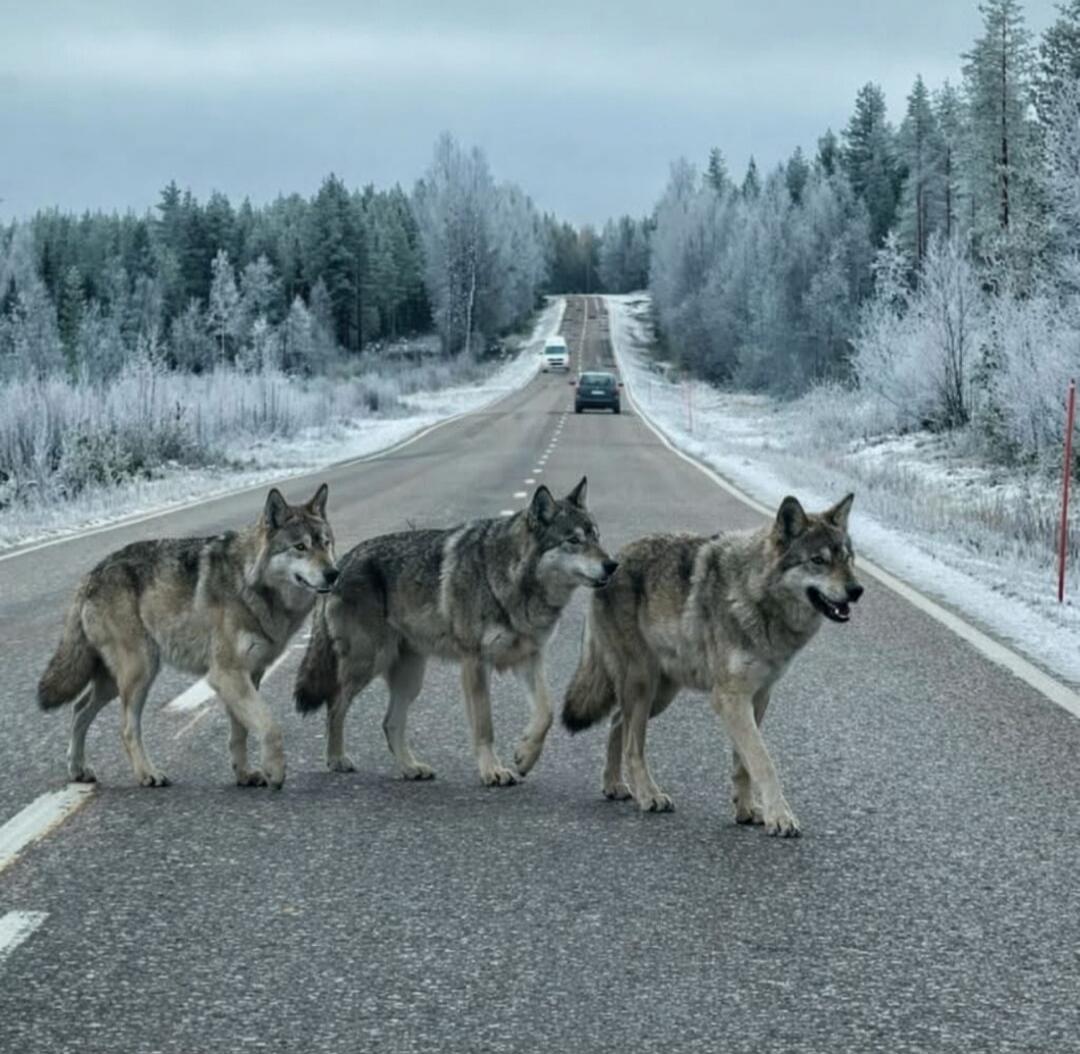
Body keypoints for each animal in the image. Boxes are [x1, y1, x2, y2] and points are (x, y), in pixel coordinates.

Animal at [38, 484, 337, 789]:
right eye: (300, 547)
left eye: (326, 543)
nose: (333, 573)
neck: (250, 584)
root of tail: (89, 576)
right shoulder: (226, 674)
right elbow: (269, 725)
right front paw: (275, 772)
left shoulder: (249, 675)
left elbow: (240, 733)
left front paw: (244, 774)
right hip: (140, 672)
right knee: (126, 729)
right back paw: (148, 774)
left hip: (113, 681)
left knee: (78, 709)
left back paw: (78, 769)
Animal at [294, 478, 616, 786]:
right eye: (573, 540)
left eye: (596, 537)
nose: (612, 565)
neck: (508, 578)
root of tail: (339, 564)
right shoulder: (475, 663)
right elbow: (485, 726)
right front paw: (493, 772)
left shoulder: (529, 659)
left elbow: (546, 712)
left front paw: (525, 756)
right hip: (369, 662)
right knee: (335, 705)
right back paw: (337, 759)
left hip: (410, 677)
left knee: (389, 723)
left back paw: (411, 768)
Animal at [562, 494, 863, 836]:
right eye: (818, 560)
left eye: (848, 559)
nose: (857, 590)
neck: (755, 598)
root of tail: (613, 560)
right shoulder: (730, 699)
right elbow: (763, 761)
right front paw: (780, 817)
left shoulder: (758, 697)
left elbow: (743, 763)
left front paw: (748, 810)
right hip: (643, 685)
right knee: (632, 745)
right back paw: (649, 795)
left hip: (659, 695)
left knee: (616, 723)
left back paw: (615, 785)